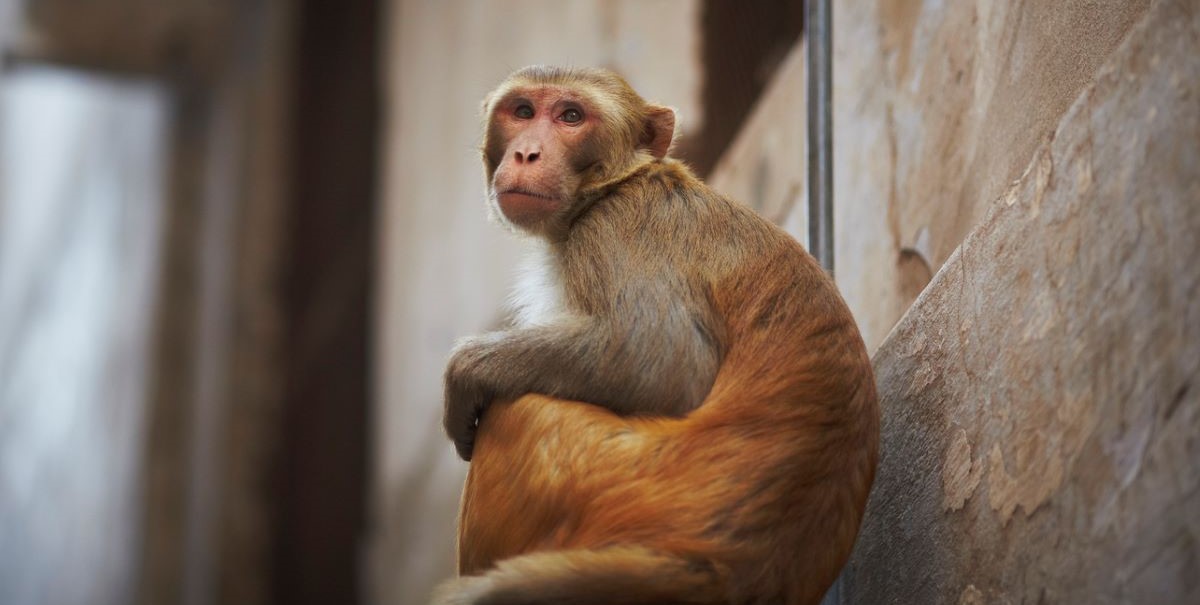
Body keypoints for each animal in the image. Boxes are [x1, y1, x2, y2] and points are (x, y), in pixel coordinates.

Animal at [437, 66, 878, 605]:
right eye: (522, 112)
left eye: (570, 116)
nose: (526, 154)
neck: (615, 185)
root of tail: (725, 572)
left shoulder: (618, 228)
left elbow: (661, 360)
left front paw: (464, 373)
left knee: (516, 410)